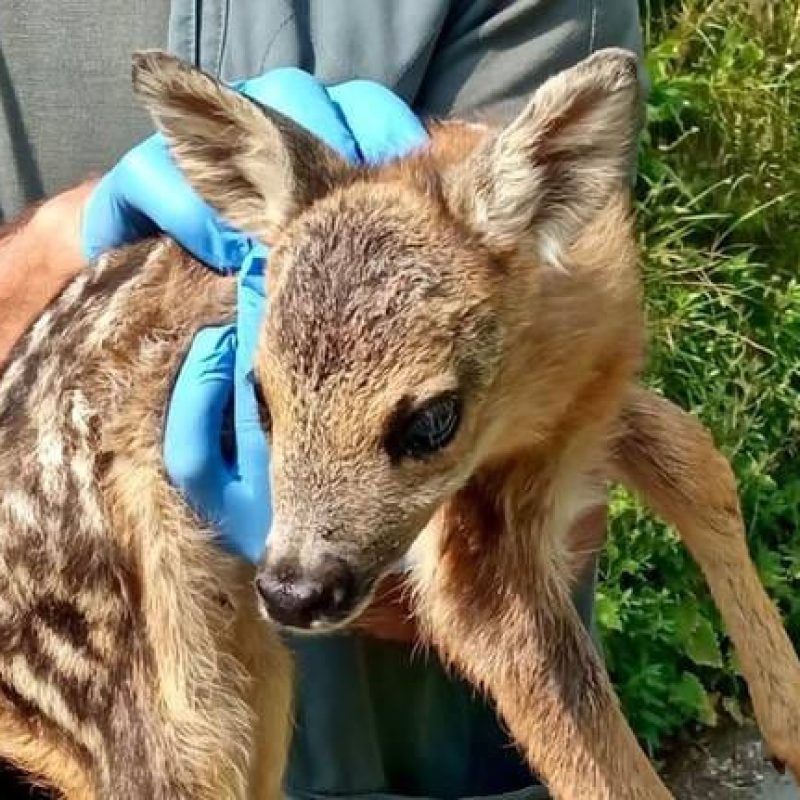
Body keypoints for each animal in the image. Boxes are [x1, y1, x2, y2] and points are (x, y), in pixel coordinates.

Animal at [1, 50, 800, 800]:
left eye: (433, 420)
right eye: (258, 398)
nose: (293, 590)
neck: (544, 378)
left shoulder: (579, 417)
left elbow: (696, 458)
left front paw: (787, 716)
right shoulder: (475, 557)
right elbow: (591, 752)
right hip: (161, 713)